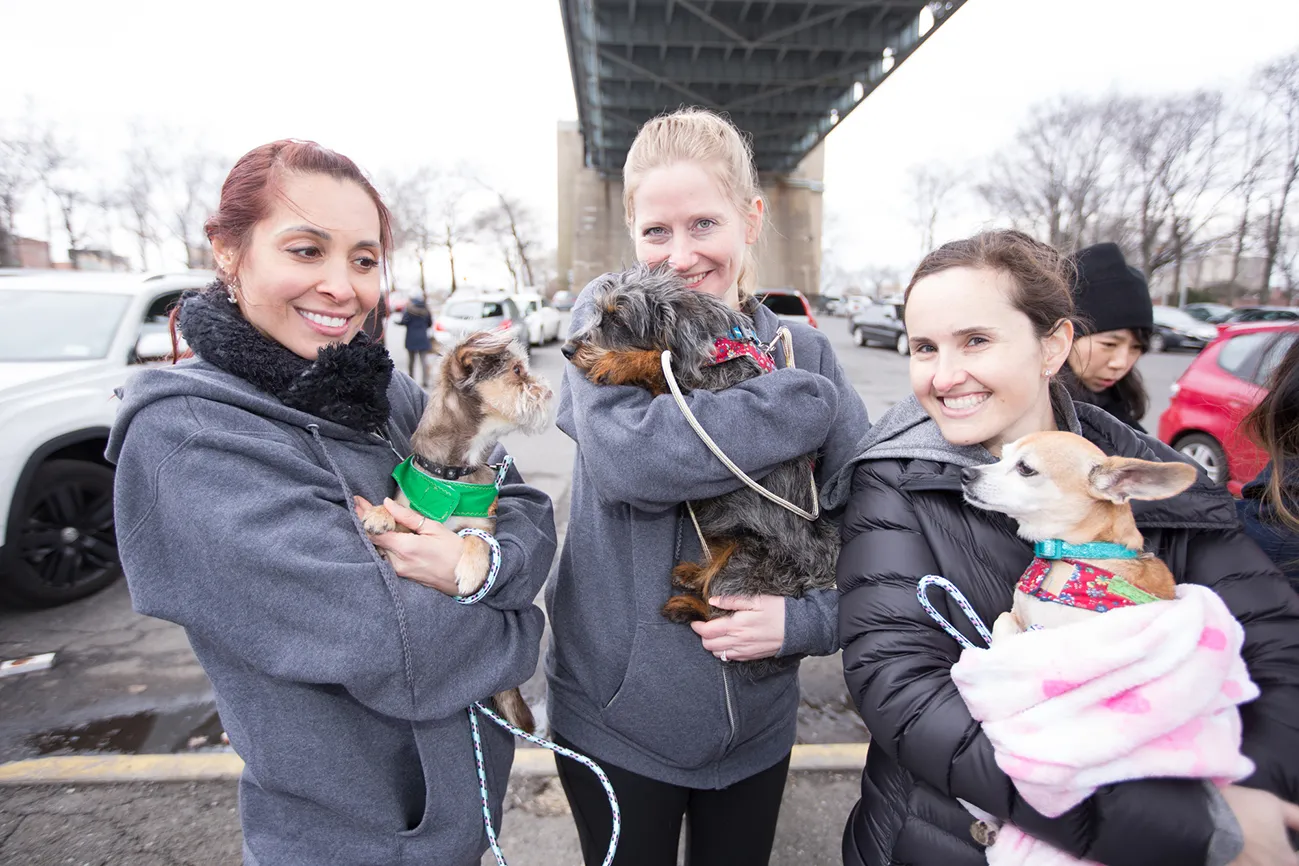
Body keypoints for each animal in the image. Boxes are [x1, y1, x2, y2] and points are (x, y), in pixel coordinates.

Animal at [361, 332, 553, 732]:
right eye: (517, 371)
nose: (547, 391)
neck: (454, 474)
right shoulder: (412, 510)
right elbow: (396, 510)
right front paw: (378, 514)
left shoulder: (484, 524)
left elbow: (476, 540)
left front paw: (470, 571)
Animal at [563, 264, 836, 675]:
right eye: (597, 313)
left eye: (617, 318)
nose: (566, 349)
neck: (713, 344)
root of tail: (816, 572)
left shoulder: (696, 388)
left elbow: (658, 360)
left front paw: (618, 362)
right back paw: (692, 574)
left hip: (739, 568)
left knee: (718, 614)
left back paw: (685, 605)